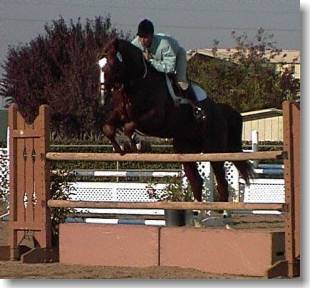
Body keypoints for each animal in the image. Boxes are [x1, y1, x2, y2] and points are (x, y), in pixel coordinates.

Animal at [100, 37, 253, 201]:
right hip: (185, 150)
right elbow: (108, 128)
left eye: (111, 64)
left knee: (222, 184)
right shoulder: (120, 114)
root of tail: (222, 112)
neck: (138, 84)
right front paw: (119, 149)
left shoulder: (155, 119)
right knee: (196, 181)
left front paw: (135, 146)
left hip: (214, 151)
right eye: (99, 64)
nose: (103, 91)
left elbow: (129, 127)